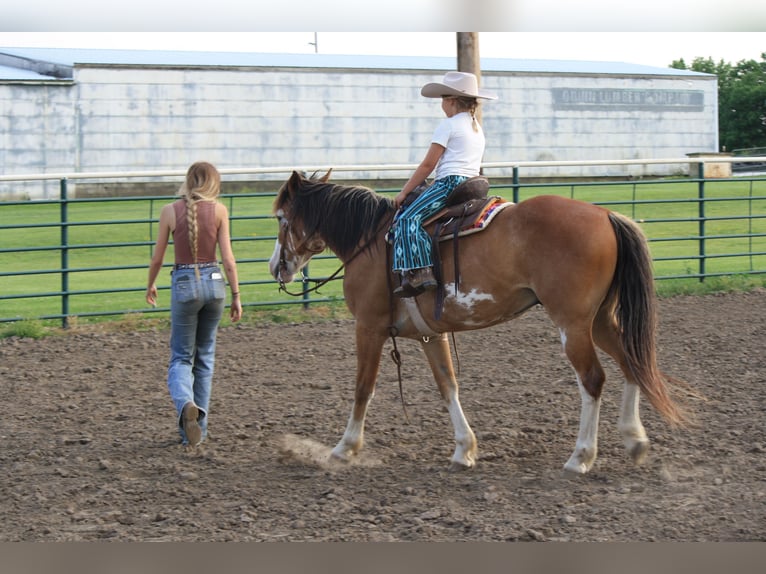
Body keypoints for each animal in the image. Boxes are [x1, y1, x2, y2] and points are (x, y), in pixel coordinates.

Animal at [269, 170, 688, 474]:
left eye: (281, 218)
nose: (277, 267)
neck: (371, 241)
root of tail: (606, 214)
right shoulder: (430, 336)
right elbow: (448, 387)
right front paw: (464, 450)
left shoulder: (369, 328)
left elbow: (362, 388)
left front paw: (344, 448)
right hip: (599, 320)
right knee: (632, 363)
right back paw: (635, 440)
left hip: (572, 324)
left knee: (593, 380)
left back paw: (581, 457)